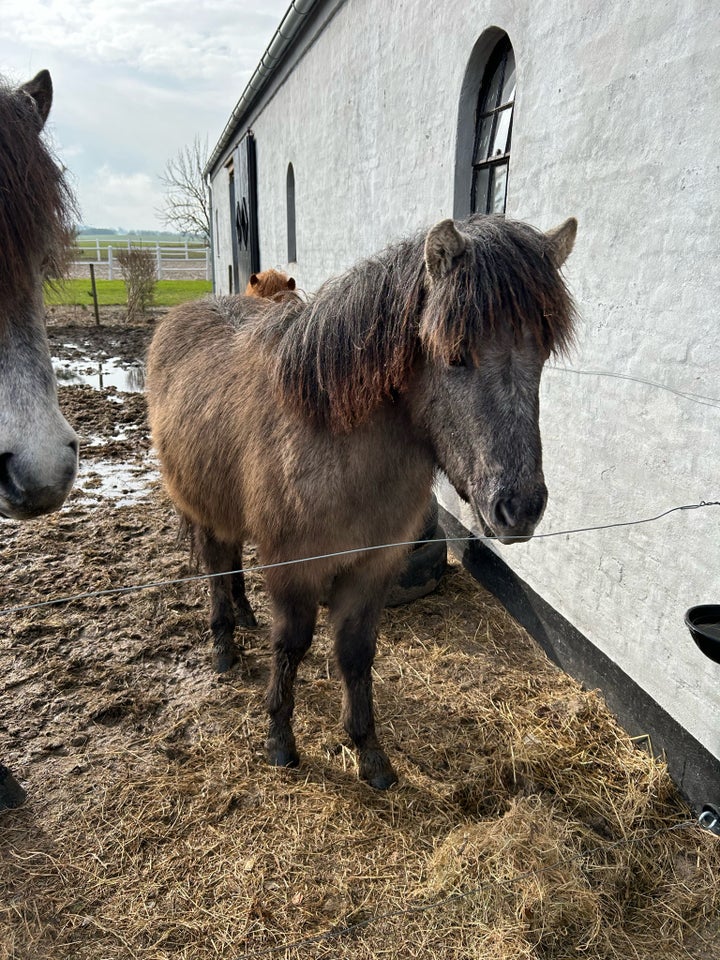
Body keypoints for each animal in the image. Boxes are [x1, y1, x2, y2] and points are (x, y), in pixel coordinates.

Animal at [145, 216, 572, 788]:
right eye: (456, 355)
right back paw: (223, 645)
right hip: (201, 509)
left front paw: (369, 752)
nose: (519, 508)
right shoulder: (294, 569)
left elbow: (355, 653)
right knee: (216, 568)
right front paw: (279, 740)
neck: (332, 437)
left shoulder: (372, 568)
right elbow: (292, 645)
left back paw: (243, 616)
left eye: (542, 355)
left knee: (231, 562)